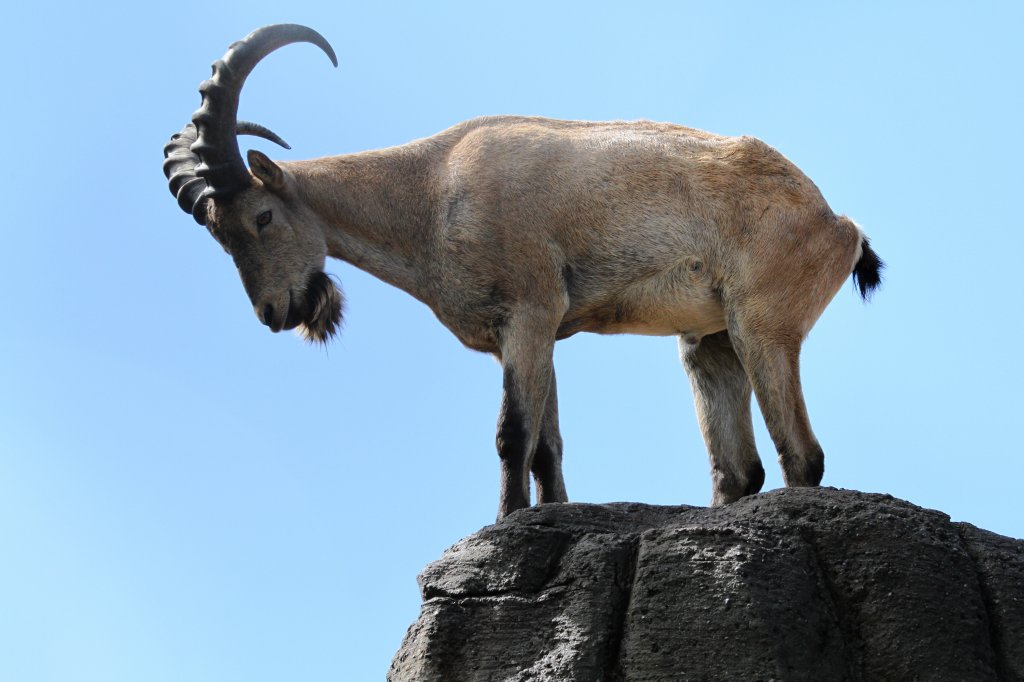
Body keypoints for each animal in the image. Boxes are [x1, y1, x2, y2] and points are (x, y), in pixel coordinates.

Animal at [163, 23, 884, 518]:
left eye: (261, 217)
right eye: (217, 235)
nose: (275, 312)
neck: (432, 191)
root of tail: (838, 224)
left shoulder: (530, 313)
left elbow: (513, 434)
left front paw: (504, 522)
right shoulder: (534, 334)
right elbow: (546, 443)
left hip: (763, 323)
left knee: (802, 455)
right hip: (708, 342)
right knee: (739, 470)